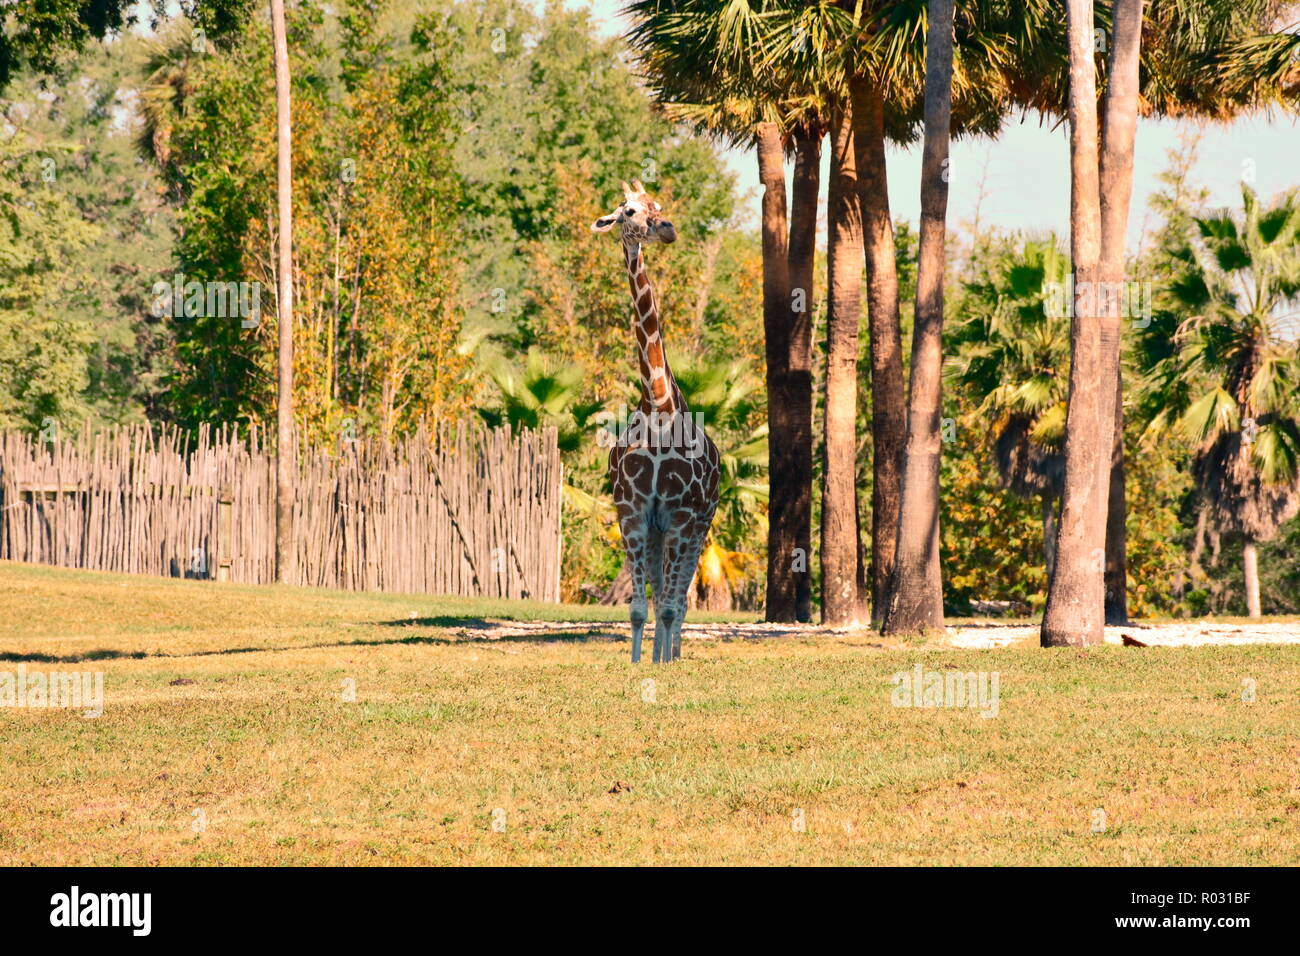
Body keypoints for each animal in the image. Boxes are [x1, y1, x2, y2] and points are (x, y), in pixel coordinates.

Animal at [592, 179, 722, 660]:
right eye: (628, 211)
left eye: (658, 205)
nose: (666, 228)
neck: (659, 406)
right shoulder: (632, 510)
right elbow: (637, 609)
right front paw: (638, 664)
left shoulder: (682, 514)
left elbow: (669, 606)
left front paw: (664, 664)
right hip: (657, 530)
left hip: (699, 526)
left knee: (678, 601)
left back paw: (673, 654)